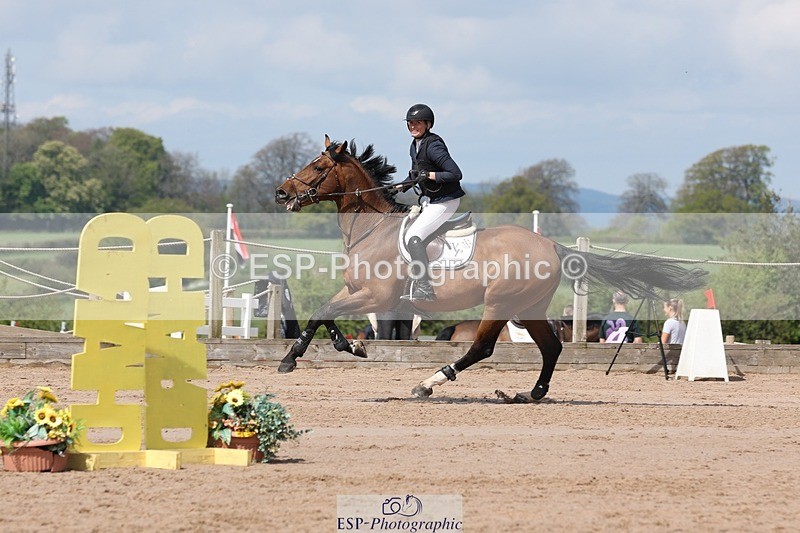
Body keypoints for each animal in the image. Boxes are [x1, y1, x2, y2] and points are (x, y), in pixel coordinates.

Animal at [273, 136, 706, 400]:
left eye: (317, 167)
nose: (280, 192)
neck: (372, 229)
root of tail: (551, 245)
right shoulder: (356, 292)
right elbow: (323, 314)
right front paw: (346, 346)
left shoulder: (376, 296)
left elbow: (323, 311)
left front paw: (291, 359)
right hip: (527, 307)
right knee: (551, 346)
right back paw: (530, 394)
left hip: (500, 303)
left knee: (482, 347)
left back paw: (429, 384)